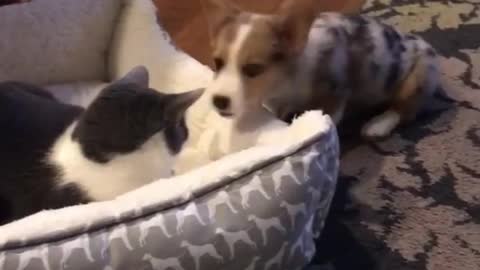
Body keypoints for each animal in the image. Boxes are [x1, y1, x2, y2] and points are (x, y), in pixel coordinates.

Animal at [205, 0, 438, 138]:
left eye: (253, 69)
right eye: (217, 62)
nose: (218, 101)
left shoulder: (334, 95)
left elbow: (329, 121)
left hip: (417, 79)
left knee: (404, 110)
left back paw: (378, 125)